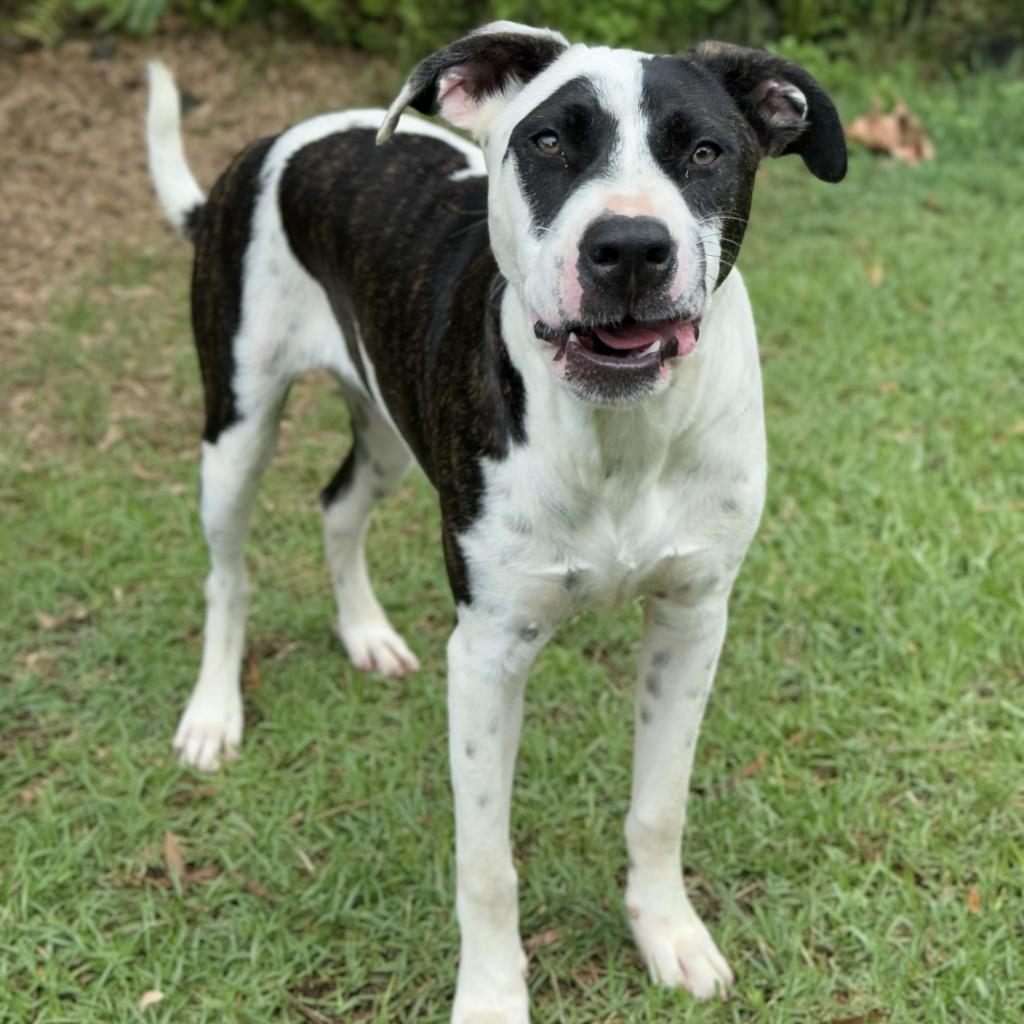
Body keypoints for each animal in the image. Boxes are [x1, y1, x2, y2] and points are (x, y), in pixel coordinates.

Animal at [146, 22, 847, 1015]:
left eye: (706, 152)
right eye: (548, 141)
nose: (629, 248)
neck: (618, 434)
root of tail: (277, 142)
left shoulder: (692, 620)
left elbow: (659, 805)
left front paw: (667, 933)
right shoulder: (486, 654)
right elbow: (485, 862)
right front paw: (488, 993)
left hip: (390, 422)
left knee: (337, 507)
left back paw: (365, 633)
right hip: (237, 424)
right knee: (227, 574)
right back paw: (213, 714)